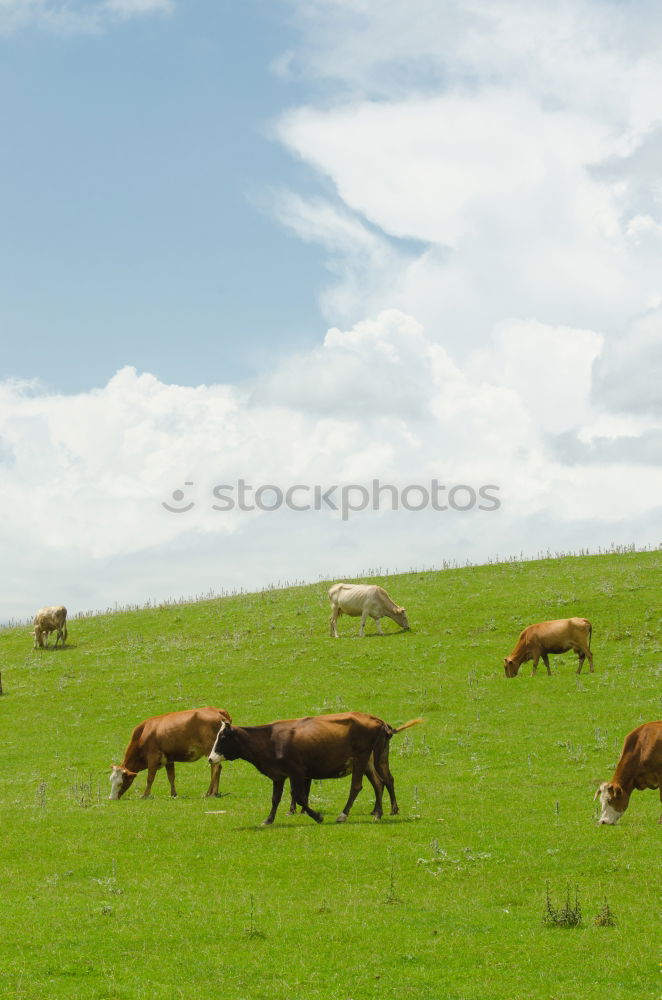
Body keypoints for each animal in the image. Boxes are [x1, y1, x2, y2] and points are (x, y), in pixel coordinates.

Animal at [209, 712, 426, 828]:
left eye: (223, 737)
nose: (211, 758)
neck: (270, 739)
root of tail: (376, 720)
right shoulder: (278, 775)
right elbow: (276, 798)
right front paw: (268, 820)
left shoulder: (297, 771)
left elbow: (300, 796)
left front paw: (317, 816)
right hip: (372, 760)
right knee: (381, 782)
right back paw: (379, 813)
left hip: (361, 759)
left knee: (358, 786)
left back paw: (344, 815)